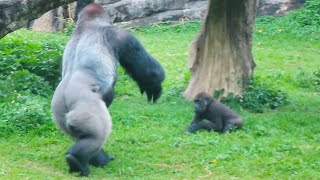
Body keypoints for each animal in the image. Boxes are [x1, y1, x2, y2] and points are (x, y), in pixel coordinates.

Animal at [51, 3, 165, 176]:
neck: (88, 25)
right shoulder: (120, 36)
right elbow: (145, 68)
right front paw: (154, 86)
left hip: (59, 114)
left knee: (82, 136)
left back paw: (94, 159)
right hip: (85, 109)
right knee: (96, 136)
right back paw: (78, 160)